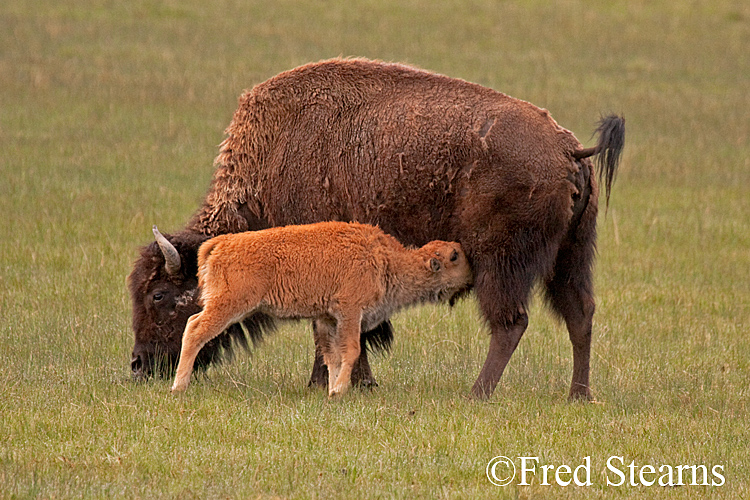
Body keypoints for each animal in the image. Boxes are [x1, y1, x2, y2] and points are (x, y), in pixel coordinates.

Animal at [173, 221, 472, 396]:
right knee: (195, 329)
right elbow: (351, 350)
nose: (472, 275)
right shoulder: (350, 311)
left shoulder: (327, 319)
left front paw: (331, 389)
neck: (386, 259)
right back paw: (179, 387)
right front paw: (338, 391)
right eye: (454, 256)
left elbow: (332, 356)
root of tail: (220, 243)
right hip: (229, 305)